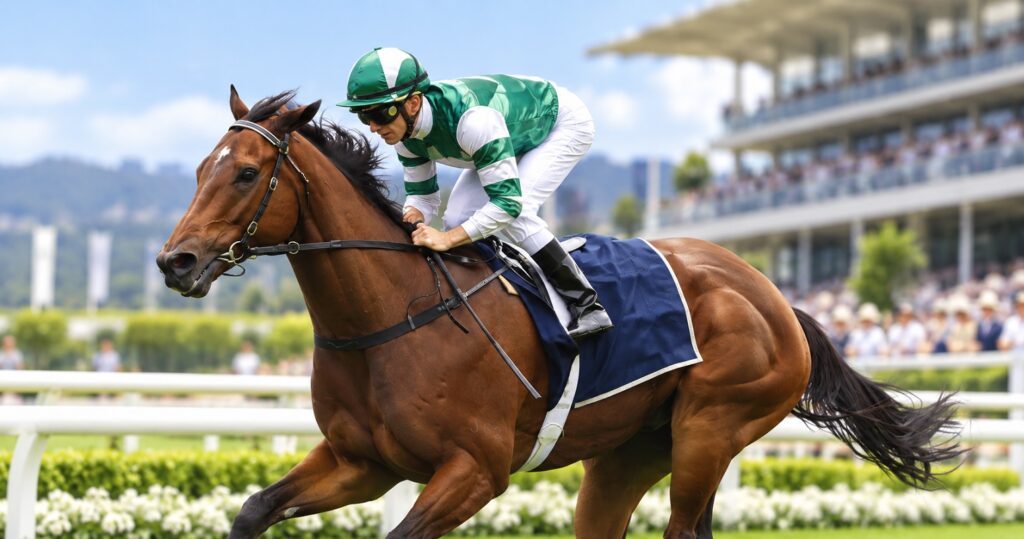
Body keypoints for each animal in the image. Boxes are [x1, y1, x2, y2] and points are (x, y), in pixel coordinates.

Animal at [156, 88, 963, 539]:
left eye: (246, 173)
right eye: (198, 170)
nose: (176, 262)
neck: (393, 319)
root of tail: (775, 298)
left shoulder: (475, 470)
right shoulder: (362, 463)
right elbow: (253, 509)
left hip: (711, 428)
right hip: (629, 452)